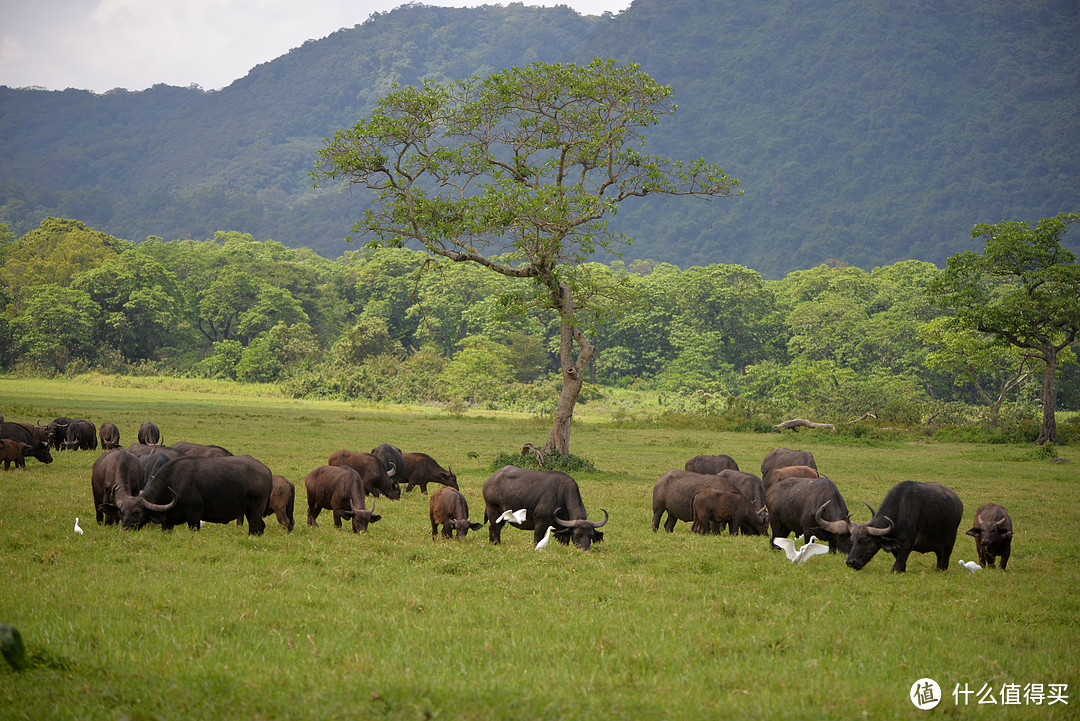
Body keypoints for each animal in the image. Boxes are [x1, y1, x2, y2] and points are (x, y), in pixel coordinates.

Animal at [118, 455, 274, 535]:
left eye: (137, 512)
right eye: (122, 511)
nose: (125, 527)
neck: (172, 484)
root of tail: (266, 470)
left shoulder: (194, 517)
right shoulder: (167, 523)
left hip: (255, 510)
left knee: (255, 527)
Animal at [816, 479, 963, 574]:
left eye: (866, 542)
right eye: (853, 541)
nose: (850, 562)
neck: (901, 510)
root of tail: (958, 502)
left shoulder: (907, 544)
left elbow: (897, 565)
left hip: (949, 543)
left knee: (945, 559)